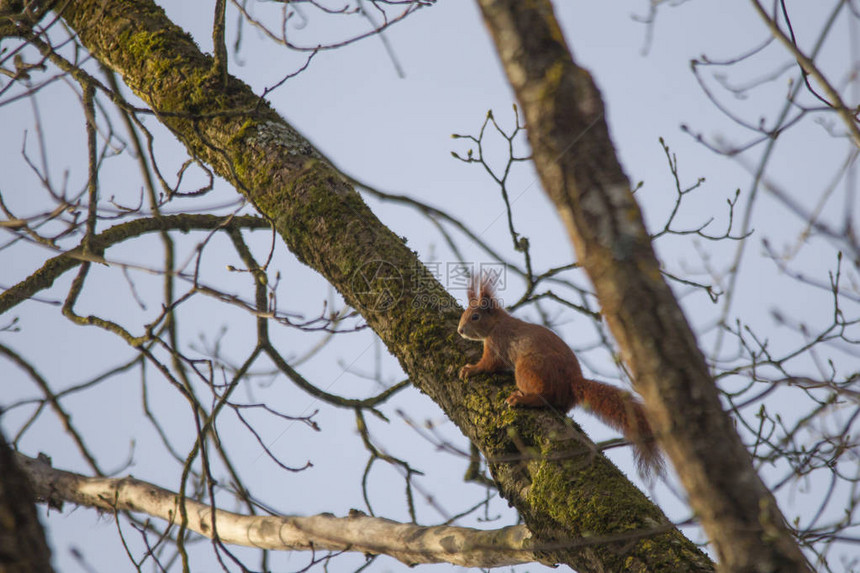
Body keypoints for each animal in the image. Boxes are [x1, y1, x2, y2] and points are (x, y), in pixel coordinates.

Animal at [460, 274, 660, 476]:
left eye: (475, 317)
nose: (460, 330)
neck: (497, 324)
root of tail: (572, 381)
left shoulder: (497, 343)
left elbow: (489, 364)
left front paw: (471, 369)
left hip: (528, 368)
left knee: (543, 395)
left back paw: (522, 398)